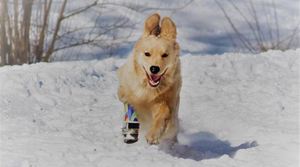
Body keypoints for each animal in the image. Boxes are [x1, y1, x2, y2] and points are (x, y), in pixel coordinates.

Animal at [118, 13, 182, 145]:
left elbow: (164, 113)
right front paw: (131, 132)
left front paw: (153, 134)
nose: (154, 69)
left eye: (165, 55)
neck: (147, 88)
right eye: (147, 54)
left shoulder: (166, 103)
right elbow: (131, 111)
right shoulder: (126, 95)